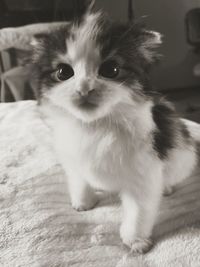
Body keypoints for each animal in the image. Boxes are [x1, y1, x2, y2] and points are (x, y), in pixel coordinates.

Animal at [28, 1, 198, 254]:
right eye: (63, 72)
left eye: (111, 70)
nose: (84, 88)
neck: (94, 127)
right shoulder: (72, 158)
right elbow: (79, 180)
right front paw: (83, 202)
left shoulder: (144, 173)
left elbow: (138, 212)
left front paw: (136, 241)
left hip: (181, 157)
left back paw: (166, 188)